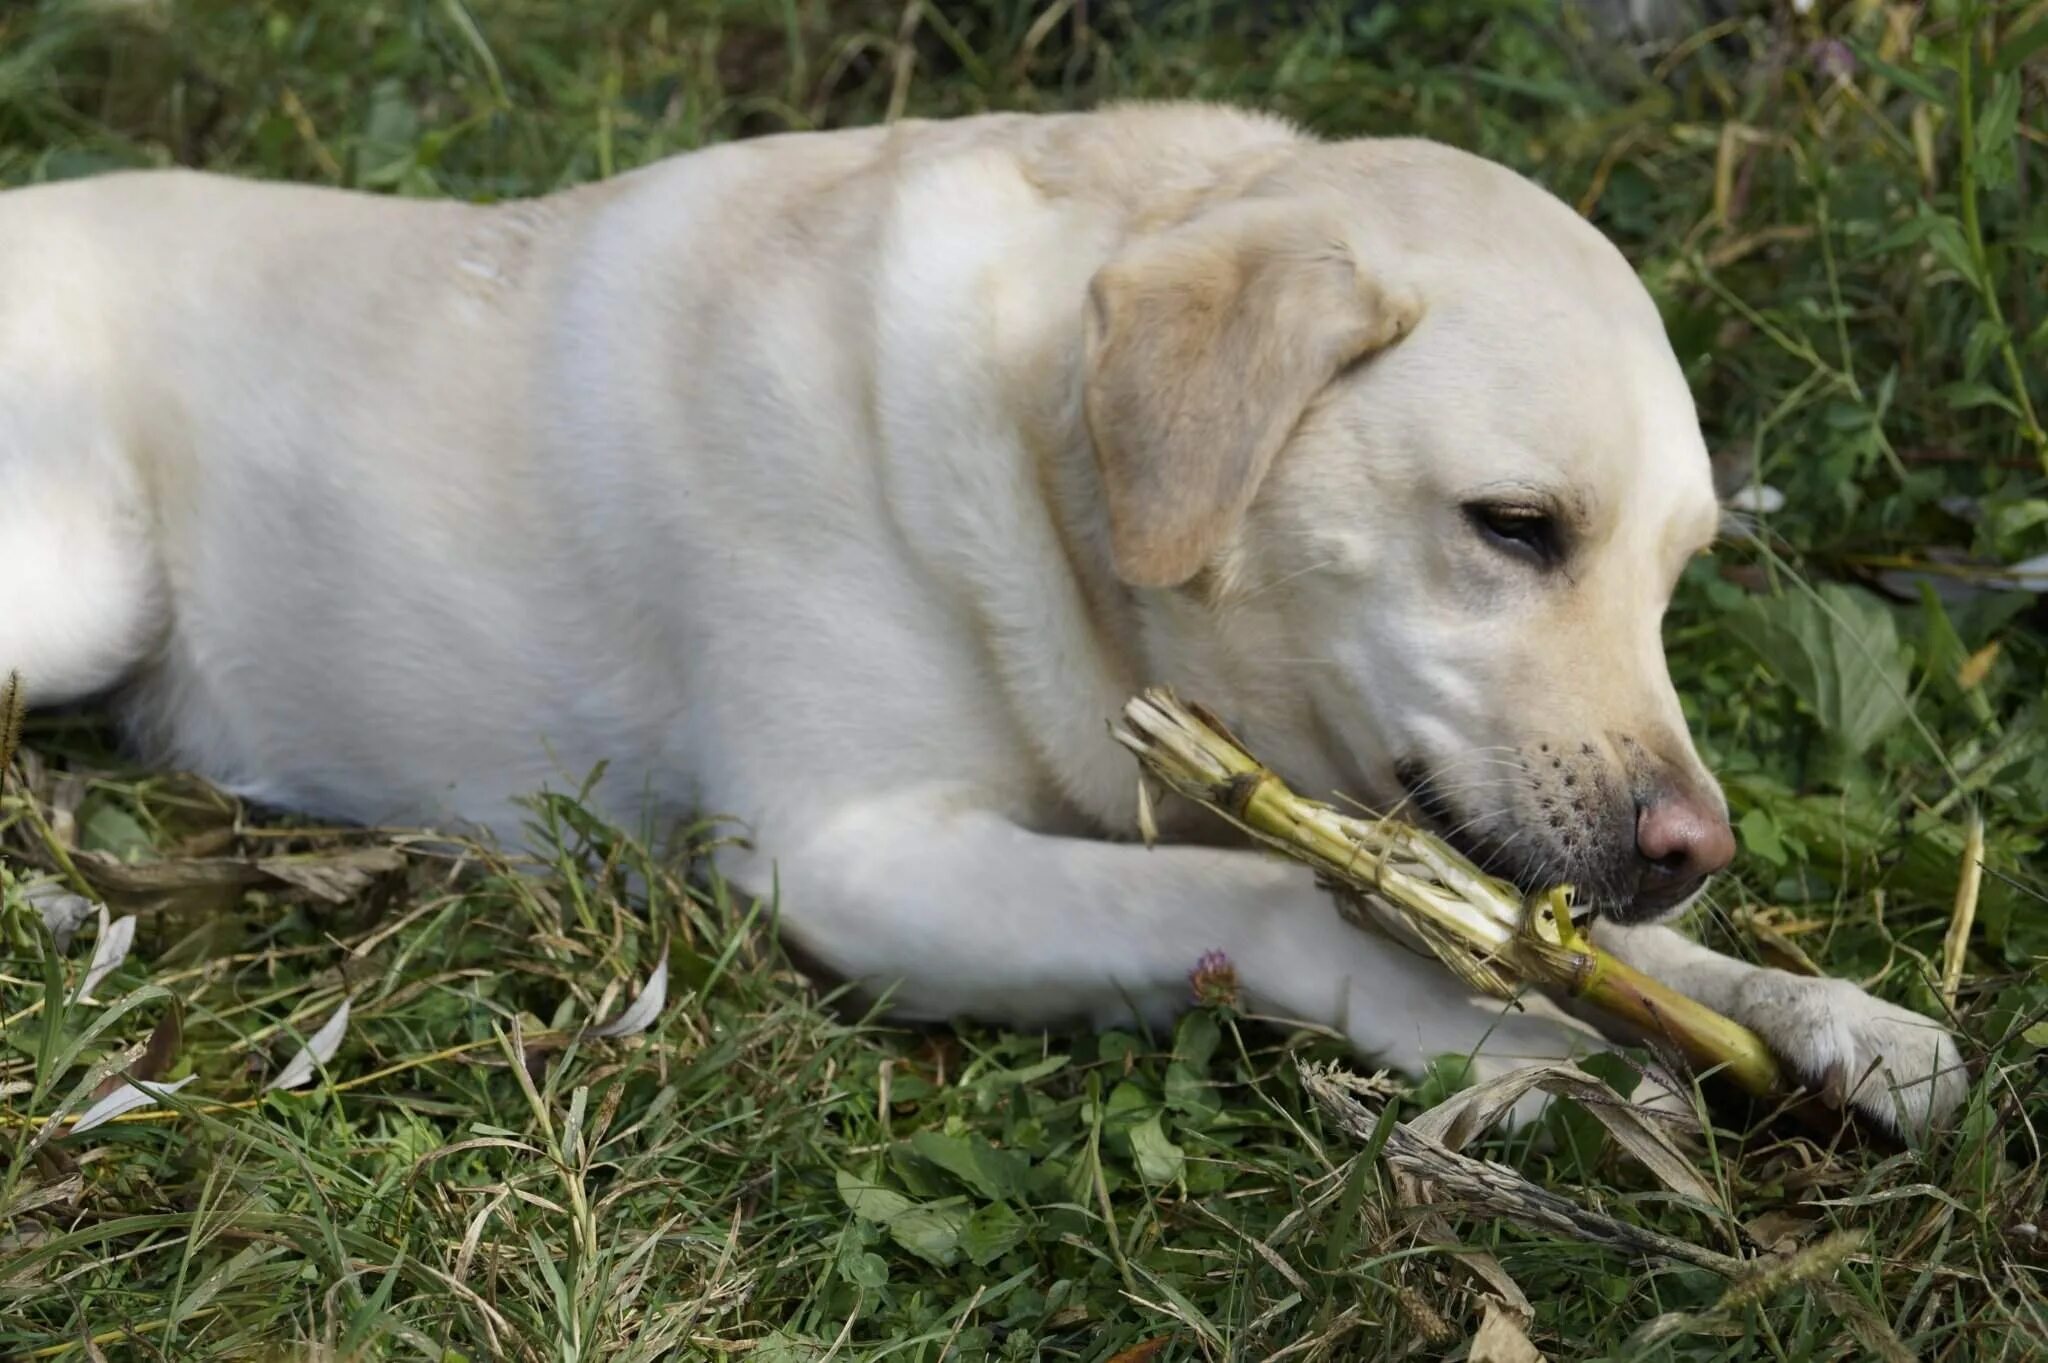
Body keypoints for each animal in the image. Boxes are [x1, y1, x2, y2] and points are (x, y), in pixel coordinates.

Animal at [0, 103, 1966, 1121]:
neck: (1045, 473)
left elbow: (1579, 939)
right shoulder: (857, 855)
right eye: (1515, 527)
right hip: (87, 580)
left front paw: (1821, 1015)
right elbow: (1262, 897)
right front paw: (1514, 1044)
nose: (1693, 848)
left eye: (1675, 572)